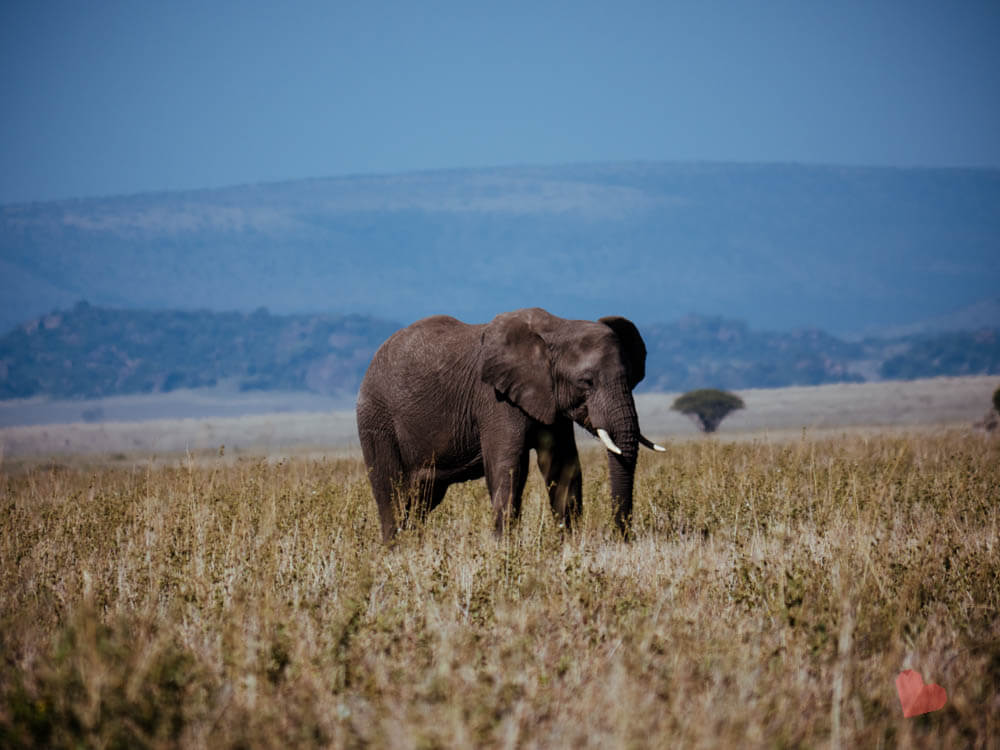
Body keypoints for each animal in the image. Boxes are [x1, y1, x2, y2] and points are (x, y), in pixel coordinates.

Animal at [356, 308, 668, 544]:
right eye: (586, 382)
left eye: (631, 378)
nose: (622, 538)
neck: (558, 329)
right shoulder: (495, 400)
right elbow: (508, 465)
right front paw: (502, 547)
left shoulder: (550, 399)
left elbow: (563, 465)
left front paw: (569, 542)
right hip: (376, 420)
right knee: (391, 493)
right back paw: (395, 548)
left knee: (421, 499)